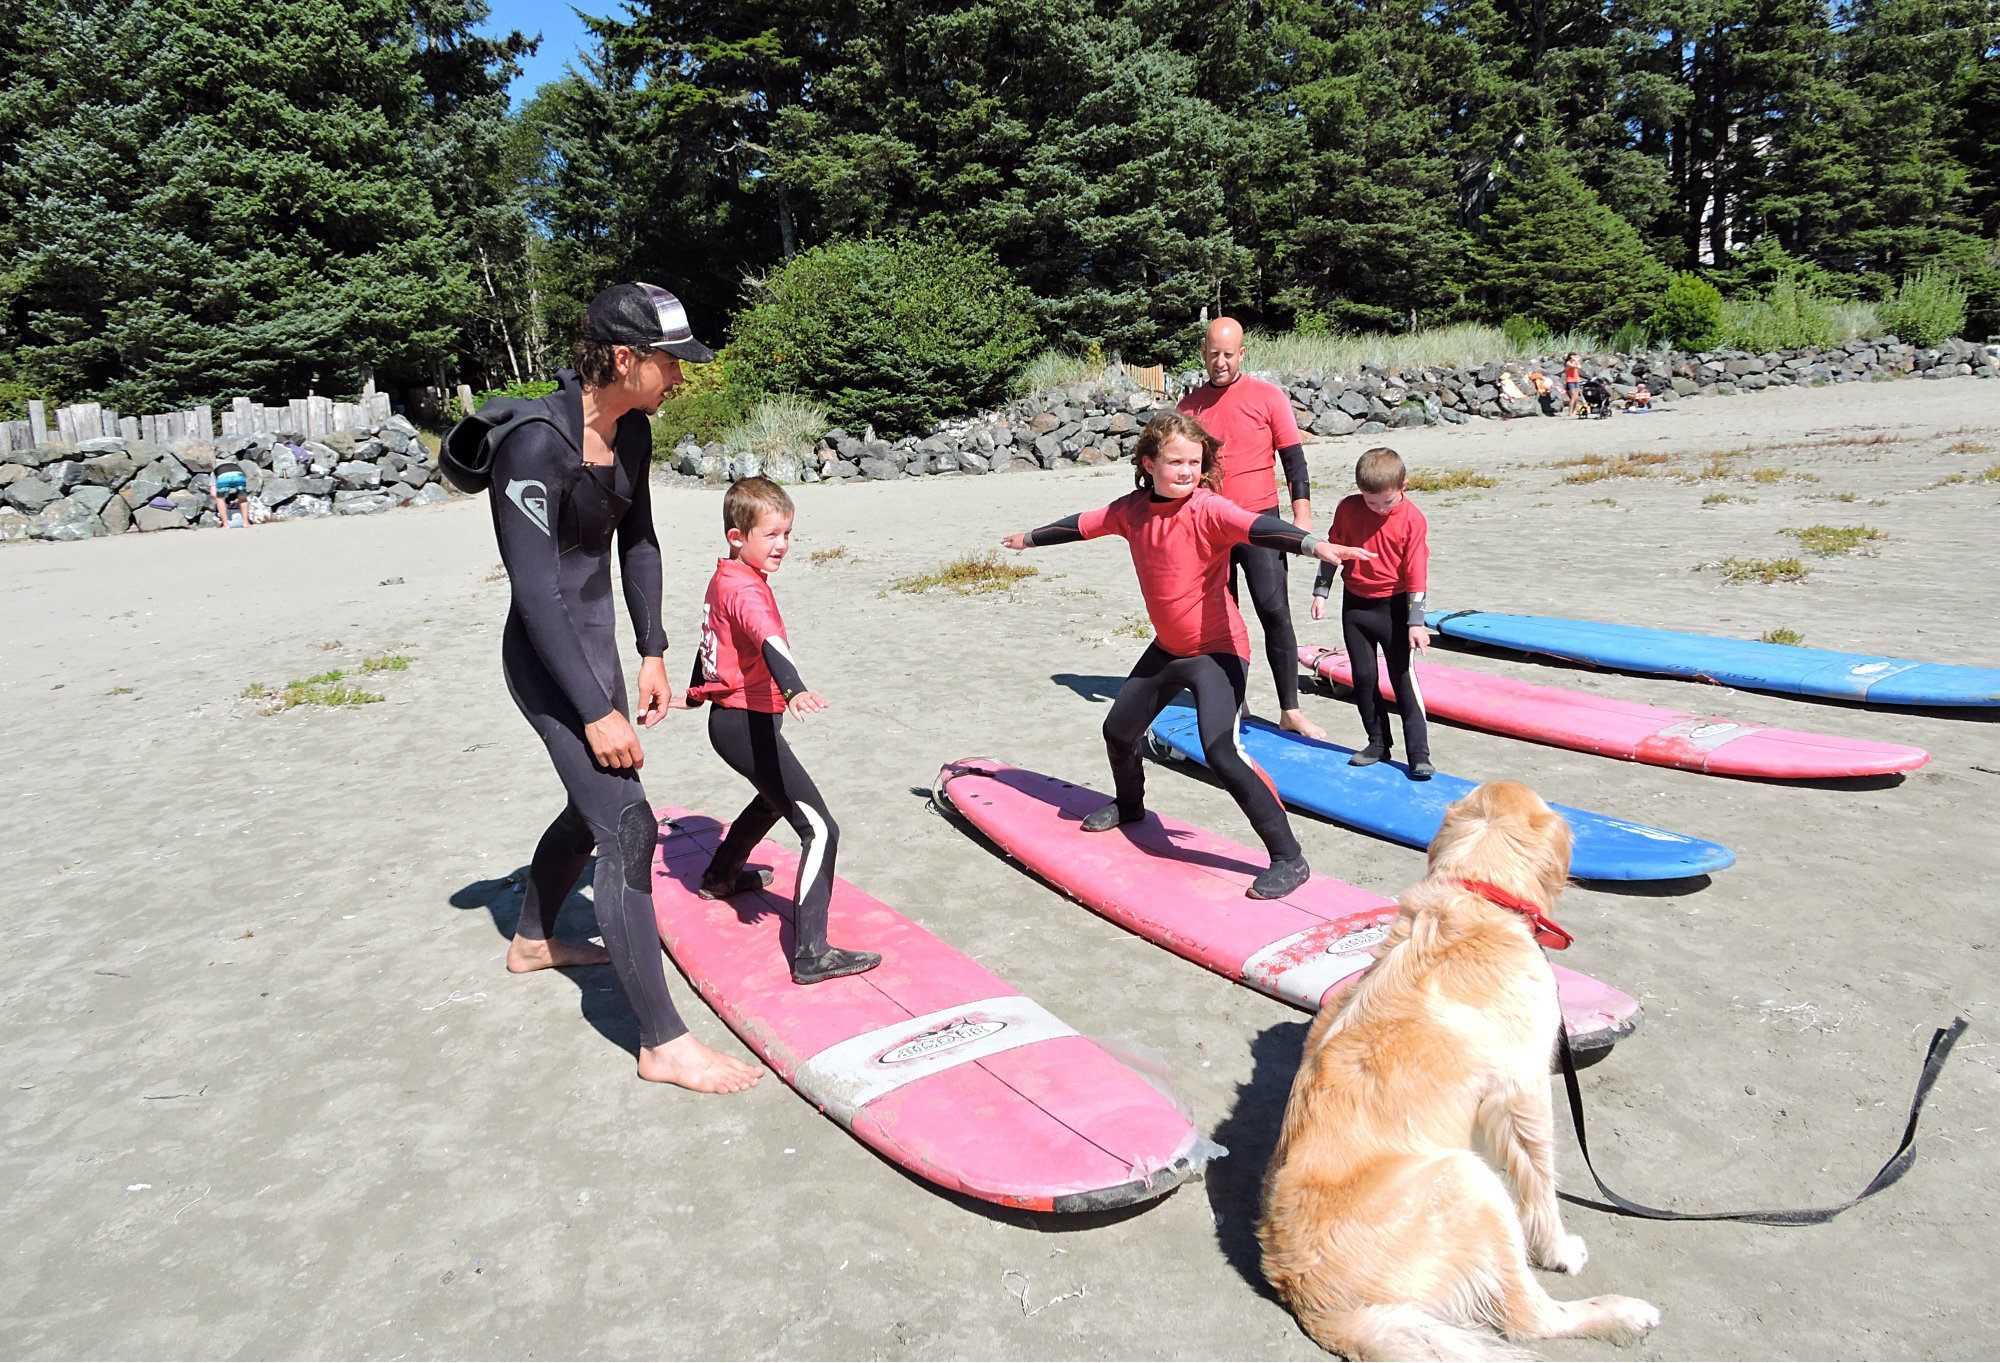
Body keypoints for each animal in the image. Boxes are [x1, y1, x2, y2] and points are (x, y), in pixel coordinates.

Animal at [1256, 779, 1664, 1351]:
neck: (1478, 895)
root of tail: (1309, 1297)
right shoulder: (1524, 1088)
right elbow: (1541, 1180)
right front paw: (1558, 1250)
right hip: (1468, 1182)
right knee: (1530, 1318)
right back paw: (1624, 1311)